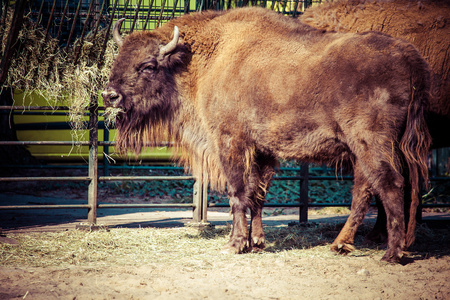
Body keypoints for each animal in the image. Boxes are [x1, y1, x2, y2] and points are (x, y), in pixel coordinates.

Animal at [103, 5, 432, 262]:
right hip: (362, 149)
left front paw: (236, 244)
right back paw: (341, 245)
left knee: (390, 184)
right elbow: (258, 195)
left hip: (371, 143)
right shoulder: (263, 152)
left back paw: (391, 254)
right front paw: (257, 242)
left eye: (148, 65)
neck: (205, 58)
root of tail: (408, 56)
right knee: (365, 190)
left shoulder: (231, 142)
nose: (109, 95)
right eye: (118, 59)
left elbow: (238, 193)